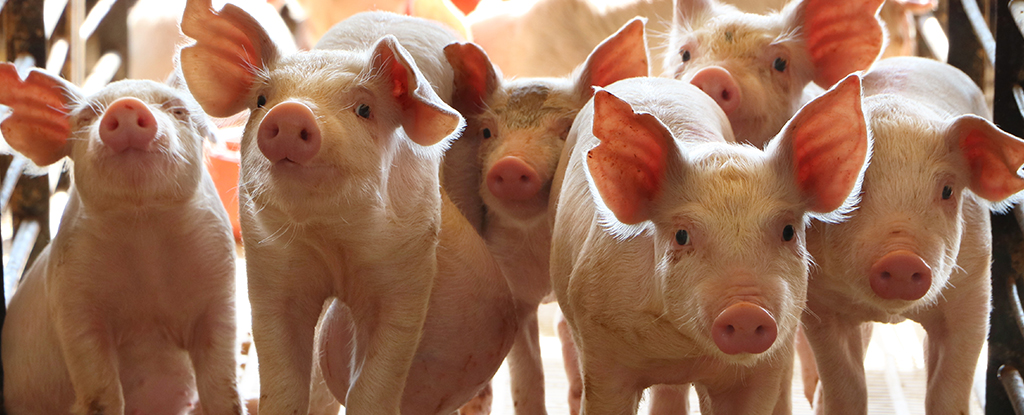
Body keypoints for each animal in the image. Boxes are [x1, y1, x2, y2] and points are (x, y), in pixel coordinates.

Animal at [0, 64, 241, 415]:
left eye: (178, 110)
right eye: (87, 117)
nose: (126, 106)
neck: (144, 233)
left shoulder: (220, 293)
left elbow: (224, 389)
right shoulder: (72, 303)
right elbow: (101, 394)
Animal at [178, 1, 520, 414]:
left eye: (364, 109)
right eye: (261, 101)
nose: (291, 112)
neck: (333, 239)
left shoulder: (408, 270)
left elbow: (374, 385)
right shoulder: (269, 266)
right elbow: (285, 384)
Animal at [549, 74, 869, 415]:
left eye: (788, 231)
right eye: (681, 235)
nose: (745, 312)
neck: (684, 352)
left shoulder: (764, 368)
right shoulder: (601, 353)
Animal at [797, 56, 1024, 414]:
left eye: (947, 190)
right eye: (855, 190)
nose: (902, 260)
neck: (893, 314)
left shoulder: (973, 291)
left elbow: (948, 392)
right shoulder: (821, 304)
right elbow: (846, 389)